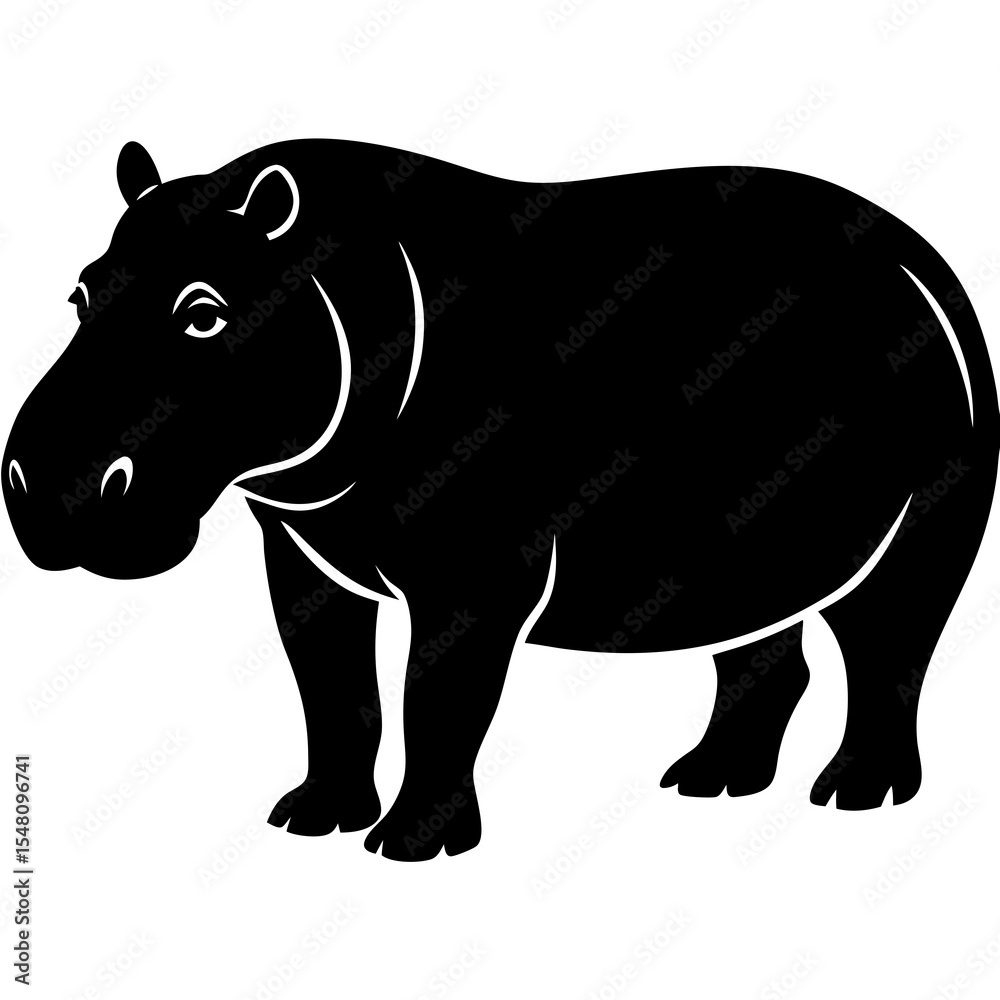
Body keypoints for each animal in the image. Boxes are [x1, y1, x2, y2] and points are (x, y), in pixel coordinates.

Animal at [4, 139, 996, 860]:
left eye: (203, 311)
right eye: (80, 292)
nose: (47, 486)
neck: (344, 287)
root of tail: (931, 261)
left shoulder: (472, 579)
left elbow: (438, 699)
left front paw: (408, 848)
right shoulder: (303, 556)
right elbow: (332, 688)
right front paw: (310, 818)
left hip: (916, 536)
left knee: (891, 649)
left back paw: (857, 795)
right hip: (749, 550)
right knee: (763, 652)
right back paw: (710, 780)